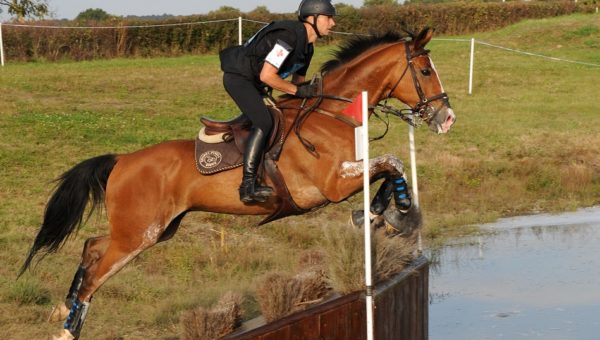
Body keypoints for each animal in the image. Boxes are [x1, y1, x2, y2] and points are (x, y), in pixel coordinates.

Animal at [18, 27, 454, 338]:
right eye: (426, 71)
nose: (446, 118)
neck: (331, 112)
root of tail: (122, 160)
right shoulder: (332, 184)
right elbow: (392, 162)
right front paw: (397, 209)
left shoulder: (348, 175)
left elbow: (388, 167)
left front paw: (377, 216)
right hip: (139, 234)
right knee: (96, 272)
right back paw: (67, 327)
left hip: (151, 230)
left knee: (92, 247)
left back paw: (64, 310)